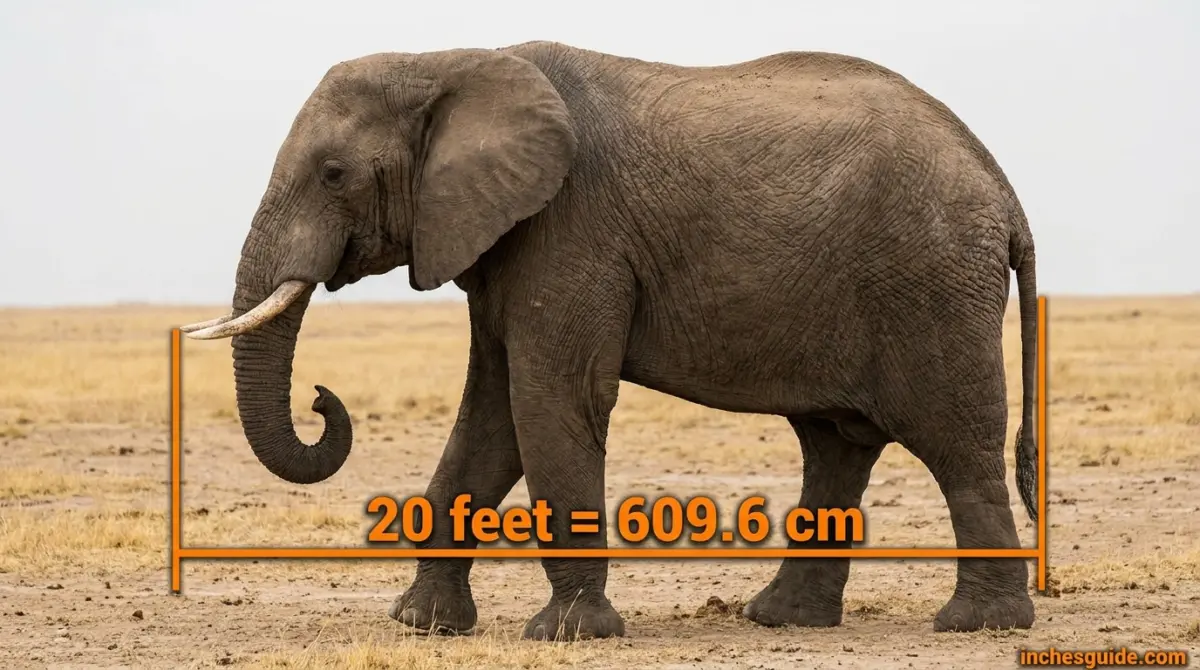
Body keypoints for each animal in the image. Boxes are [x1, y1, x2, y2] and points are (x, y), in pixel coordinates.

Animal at [181, 40, 1040, 641]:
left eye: (332, 174)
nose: (321, 397)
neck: (449, 62)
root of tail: (1004, 190)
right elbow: (491, 420)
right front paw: (421, 624)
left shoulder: (572, 230)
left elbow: (548, 402)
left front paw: (566, 634)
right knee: (834, 446)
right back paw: (780, 618)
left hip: (931, 283)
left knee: (954, 440)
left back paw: (978, 624)